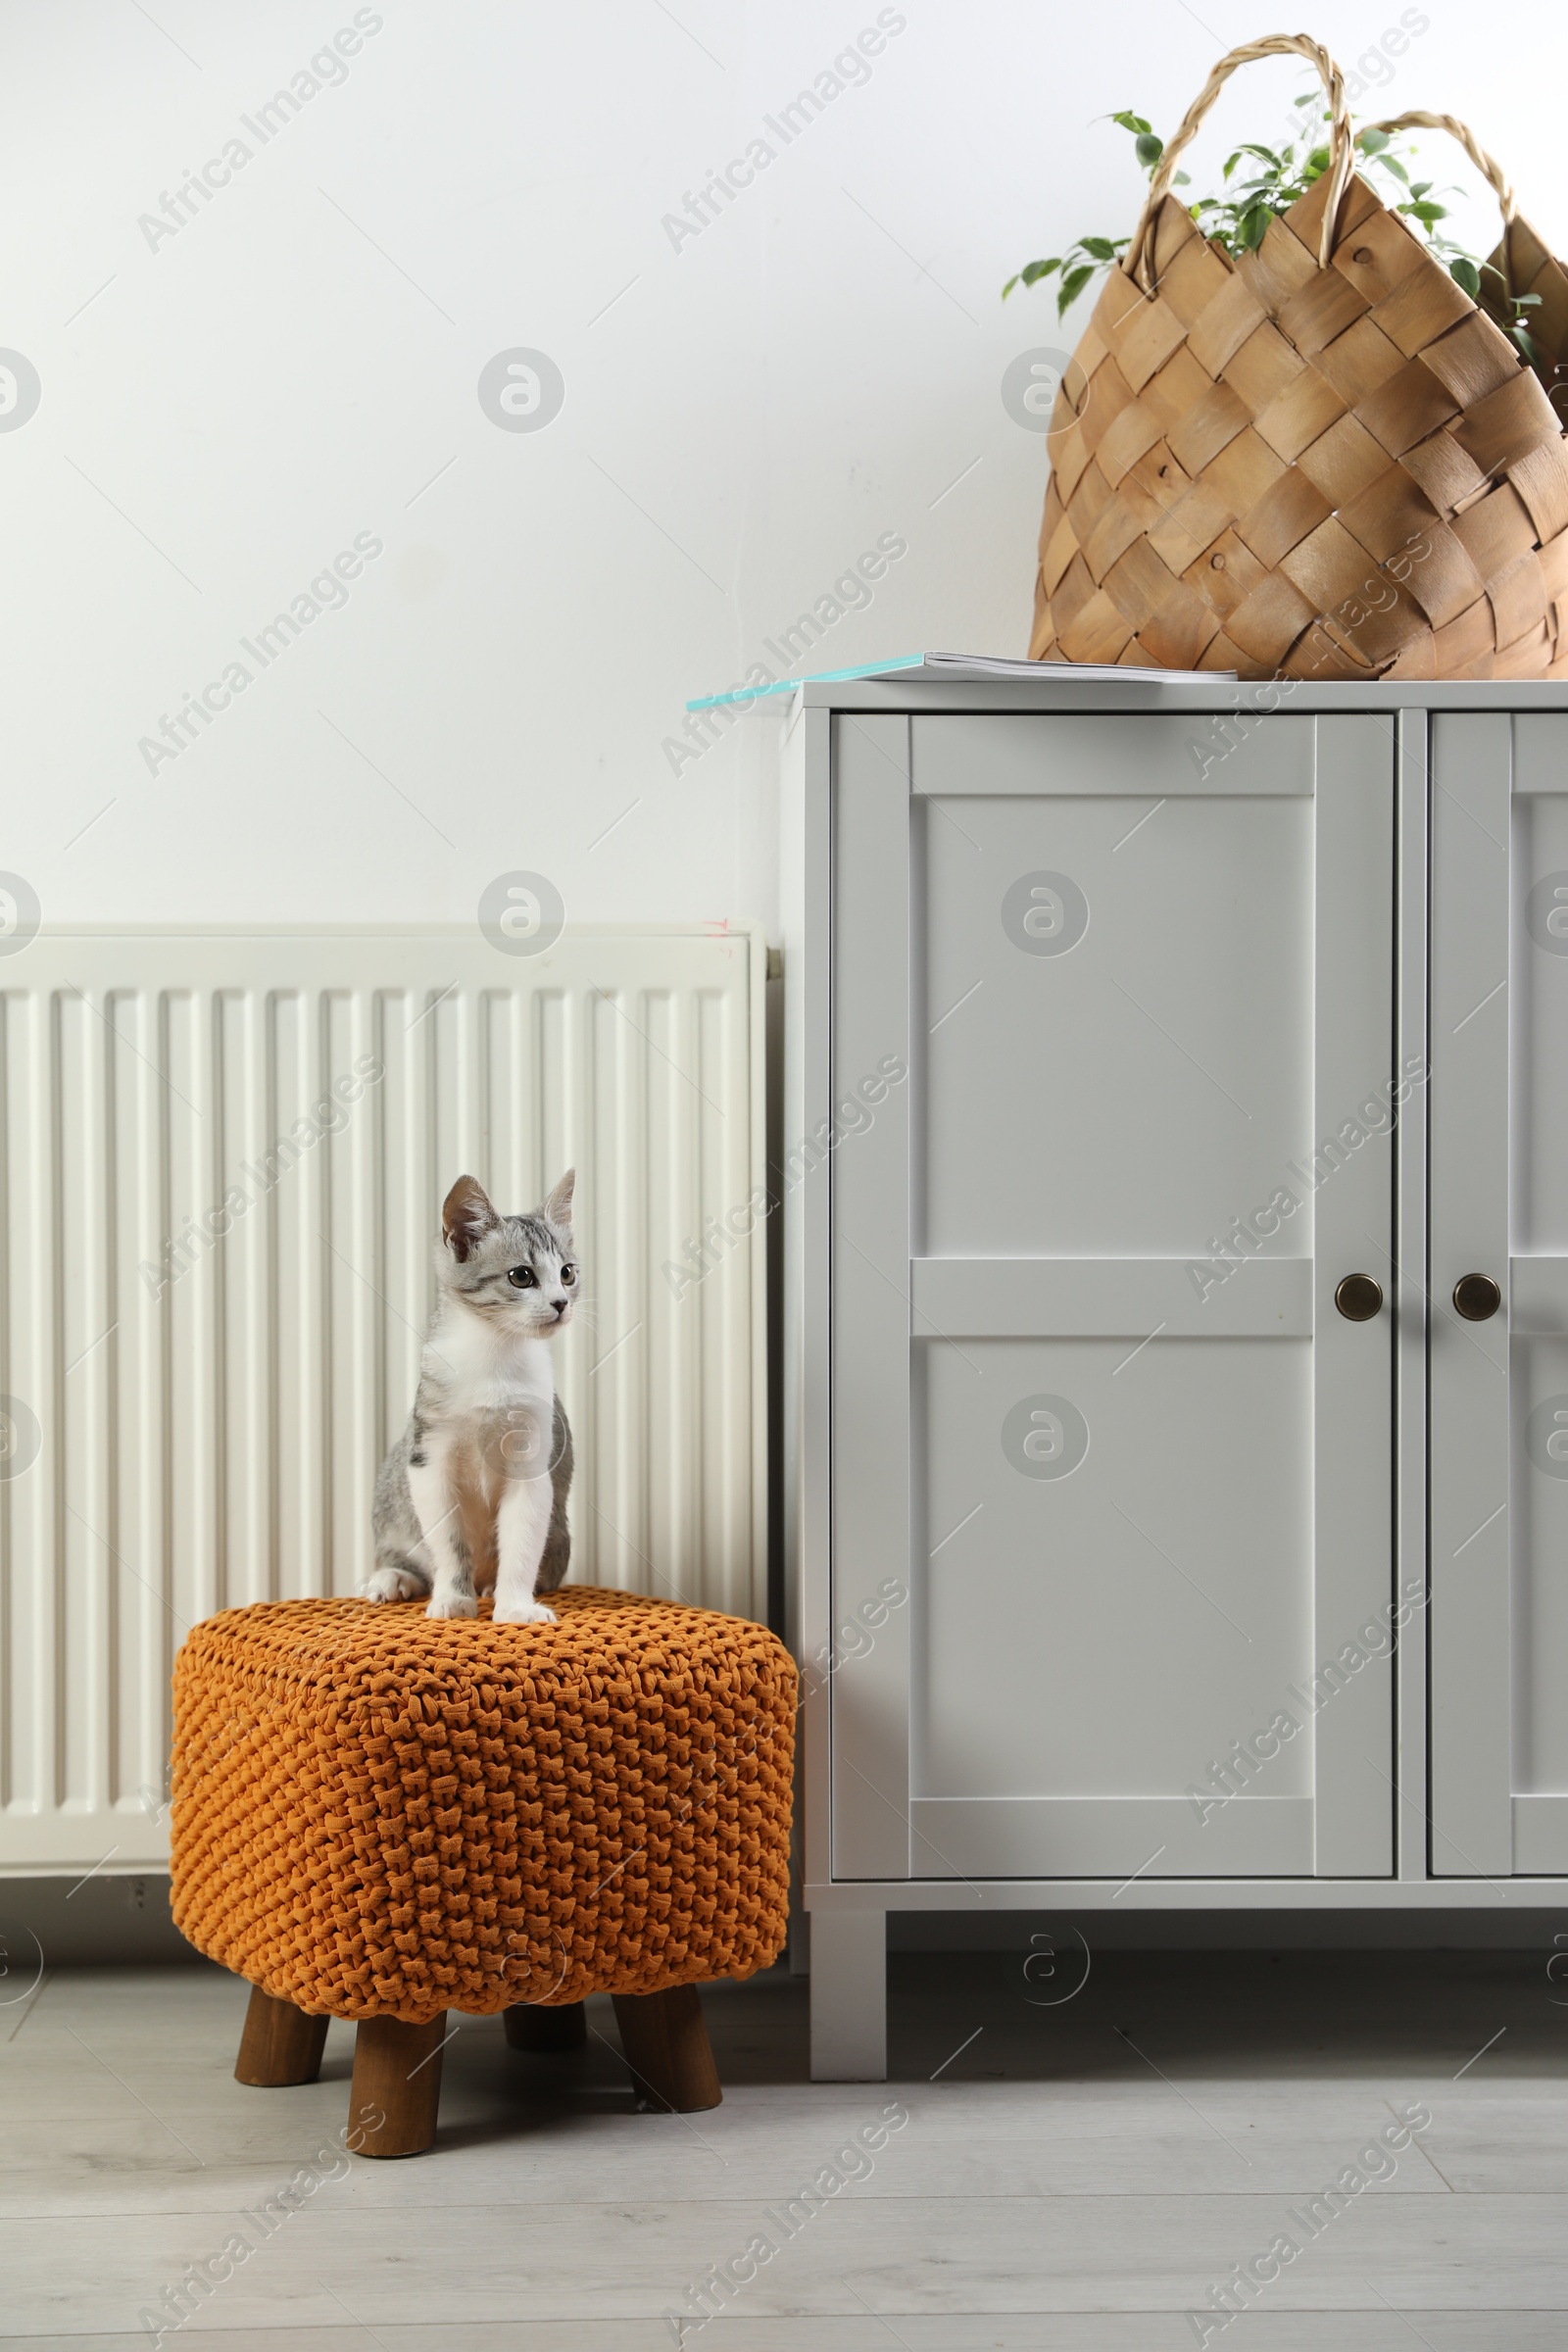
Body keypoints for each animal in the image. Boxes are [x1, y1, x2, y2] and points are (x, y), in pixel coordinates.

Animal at [371, 1171, 580, 1618]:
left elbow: (522, 1540)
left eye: (568, 1273)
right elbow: (449, 1543)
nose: (561, 1303)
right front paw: (453, 1598)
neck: (495, 1353)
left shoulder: (532, 1460)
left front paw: (516, 1606)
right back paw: (393, 1577)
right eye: (522, 1276)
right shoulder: (429, 1457)